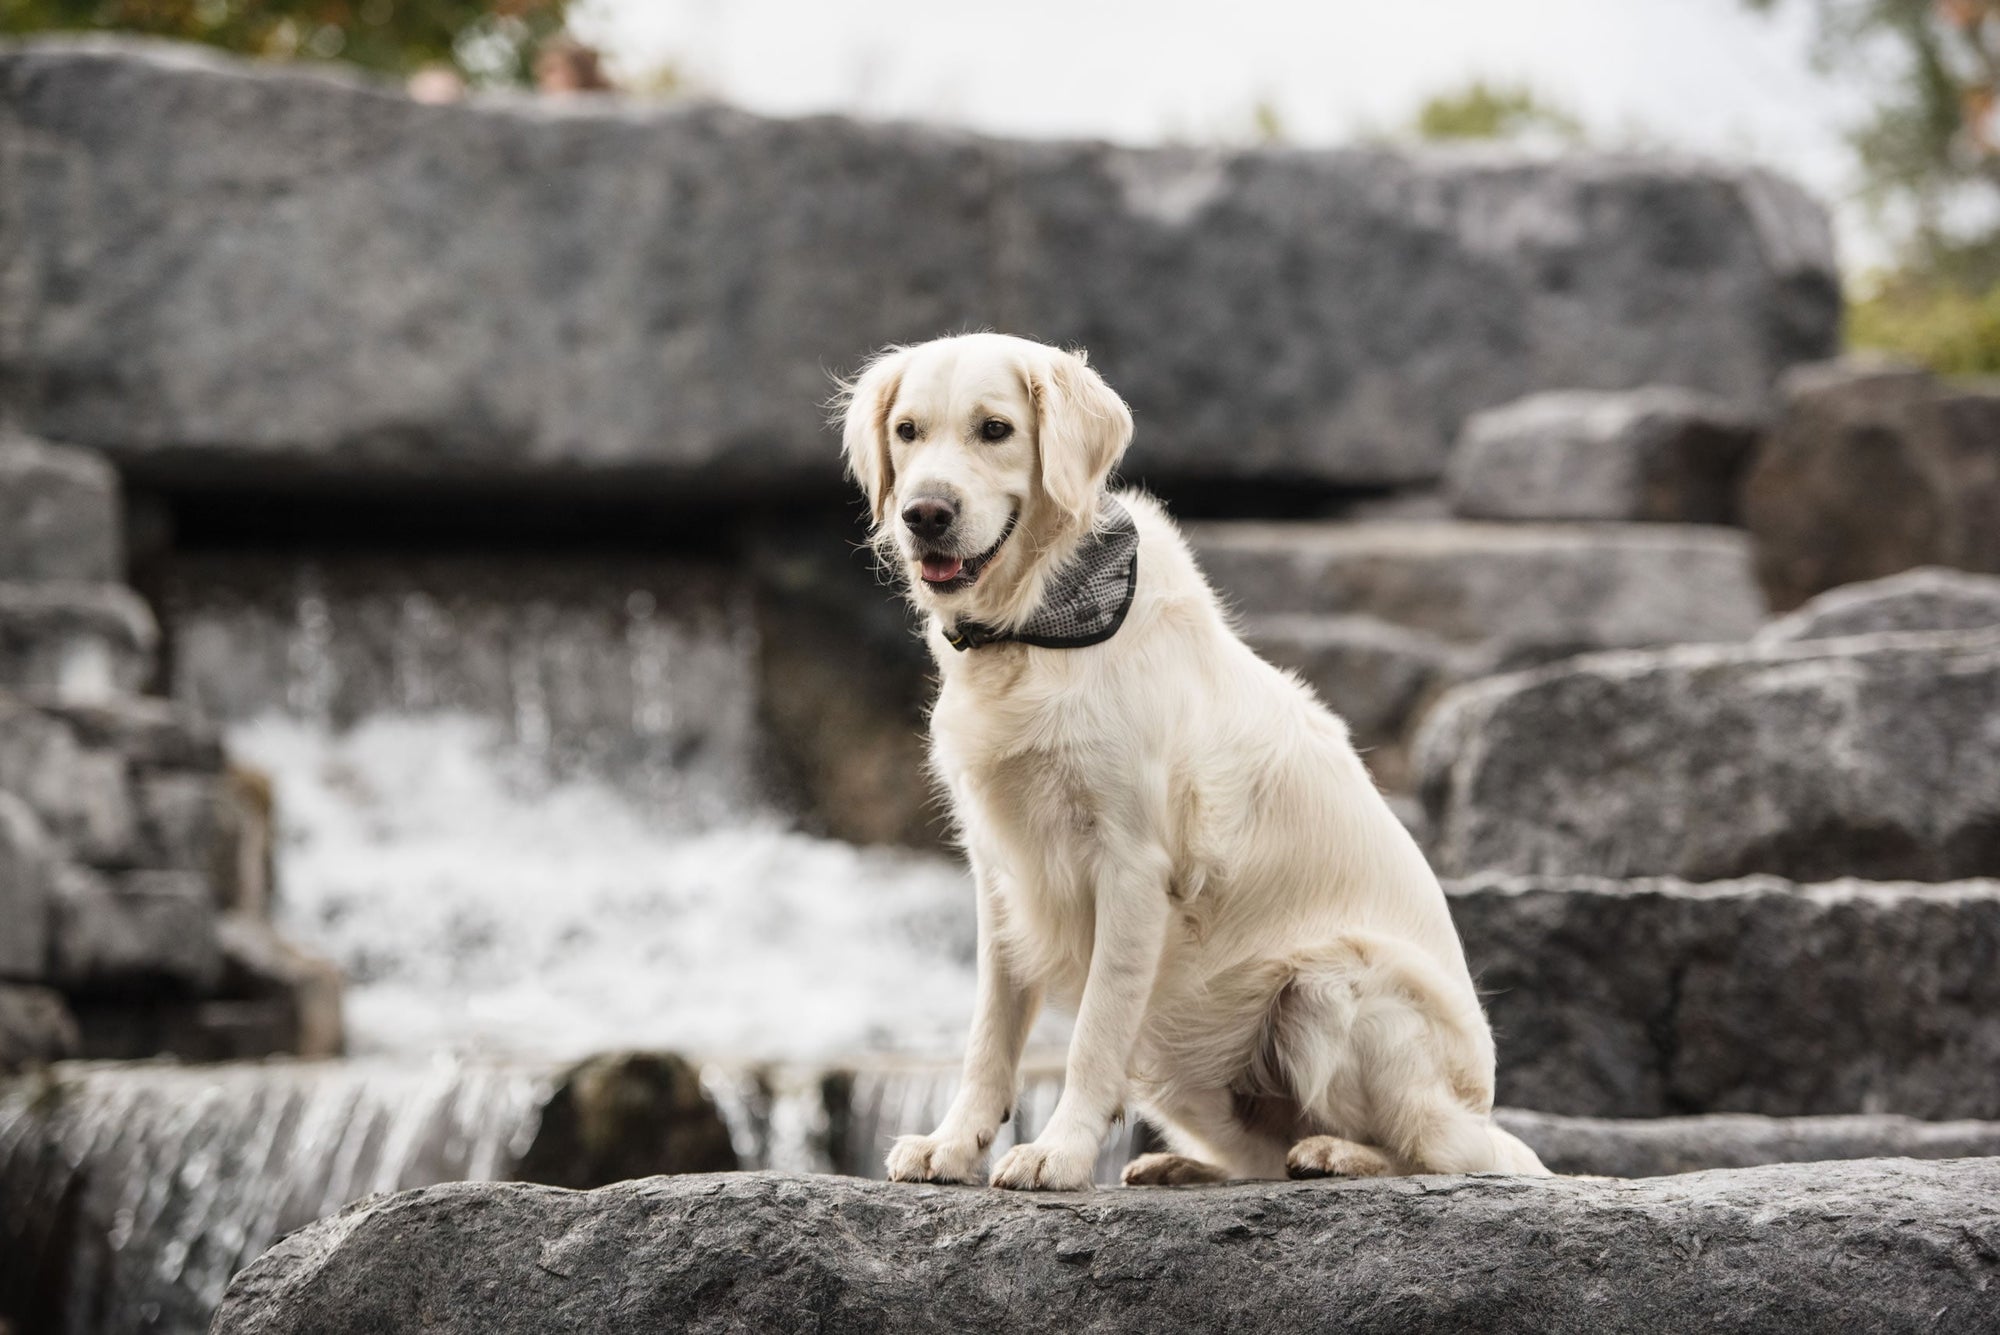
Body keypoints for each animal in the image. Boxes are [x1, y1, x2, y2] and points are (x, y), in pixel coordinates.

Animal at [836, 331, 1536, 1191]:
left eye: (994, 429)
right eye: (907, 431)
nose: (925, 514)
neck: (1041, 623)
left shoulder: (1132, 867)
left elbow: (1094, 1031)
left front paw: (1059, 1152)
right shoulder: (1001, 869)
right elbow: (988, 1034)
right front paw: (954, 1143)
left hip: (1328, 984)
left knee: (1445, 1151)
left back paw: (1338, 1153)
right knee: (1262, 1158)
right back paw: (1185, 1165)